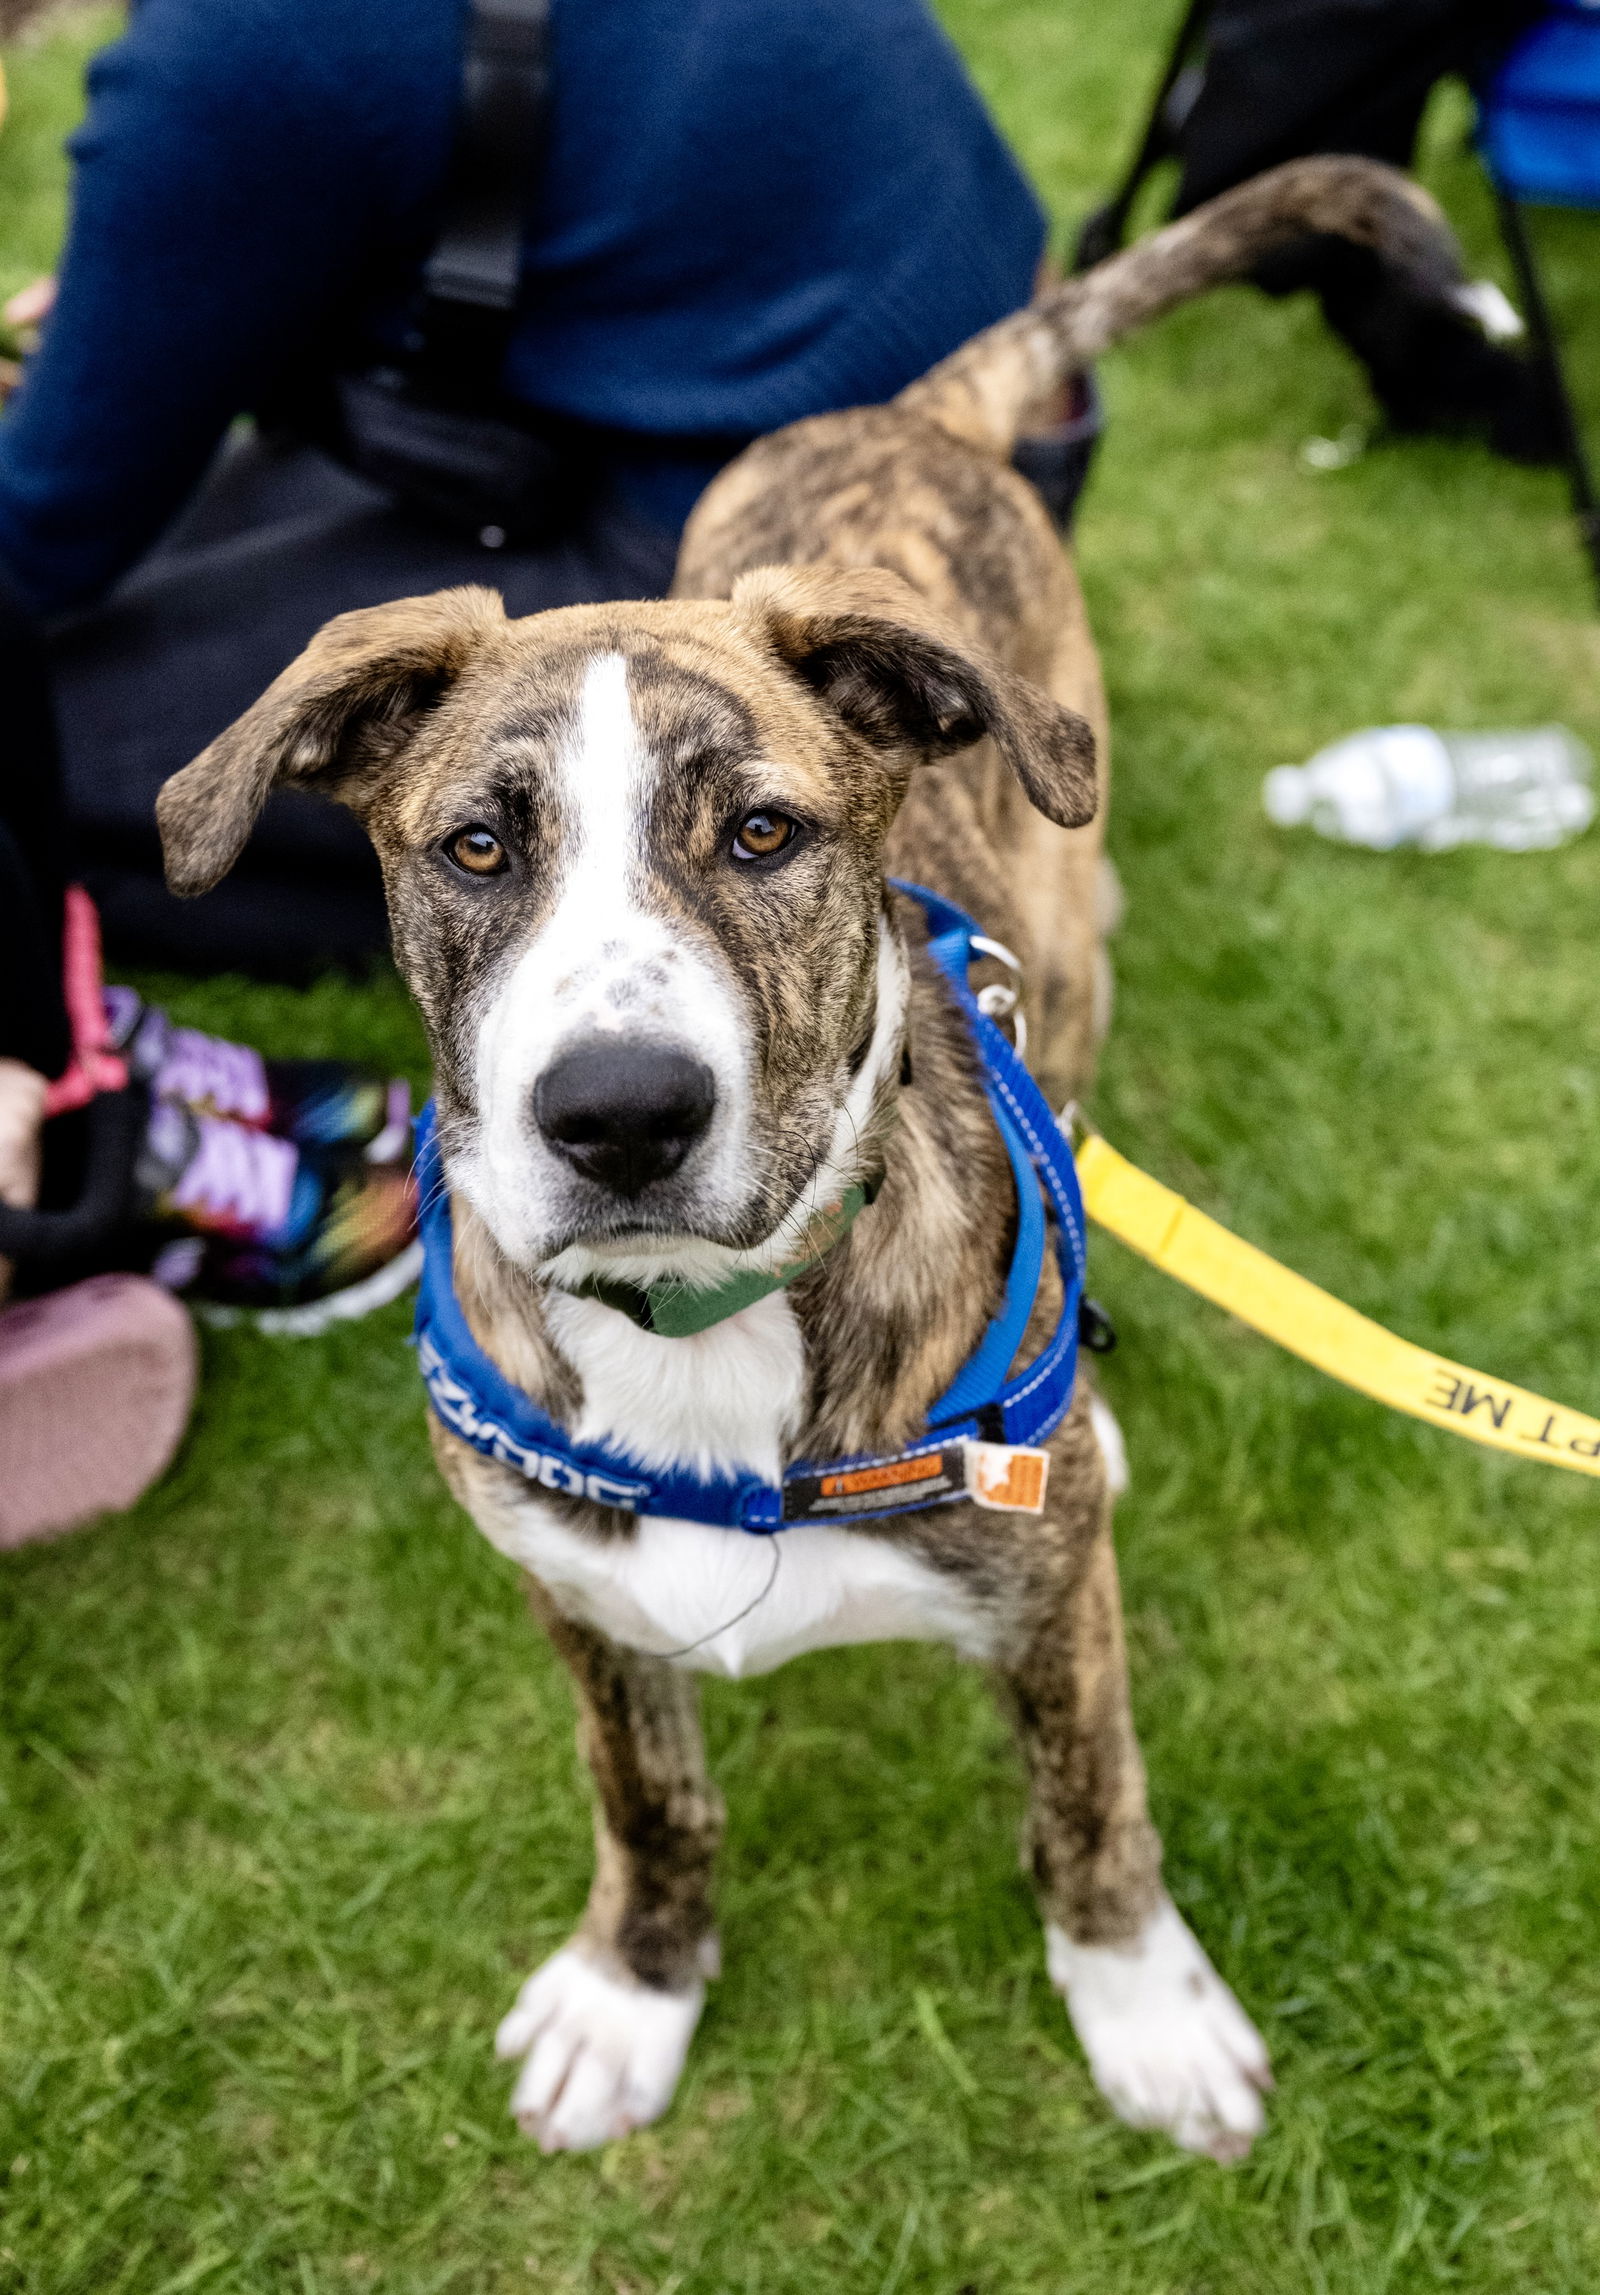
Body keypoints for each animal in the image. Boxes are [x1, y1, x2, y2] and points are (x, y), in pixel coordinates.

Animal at [159, 152, 1459, 2157]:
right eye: (475, 849)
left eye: (764, 834)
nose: (621, 1112)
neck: (705, 1325)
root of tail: (903, 413)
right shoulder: (578, 1599)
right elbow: (650, 1799)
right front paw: (634, 1988)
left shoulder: (1052, 1613)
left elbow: (1091, 1803)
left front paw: (1147, 2009)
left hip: (1072, 919)